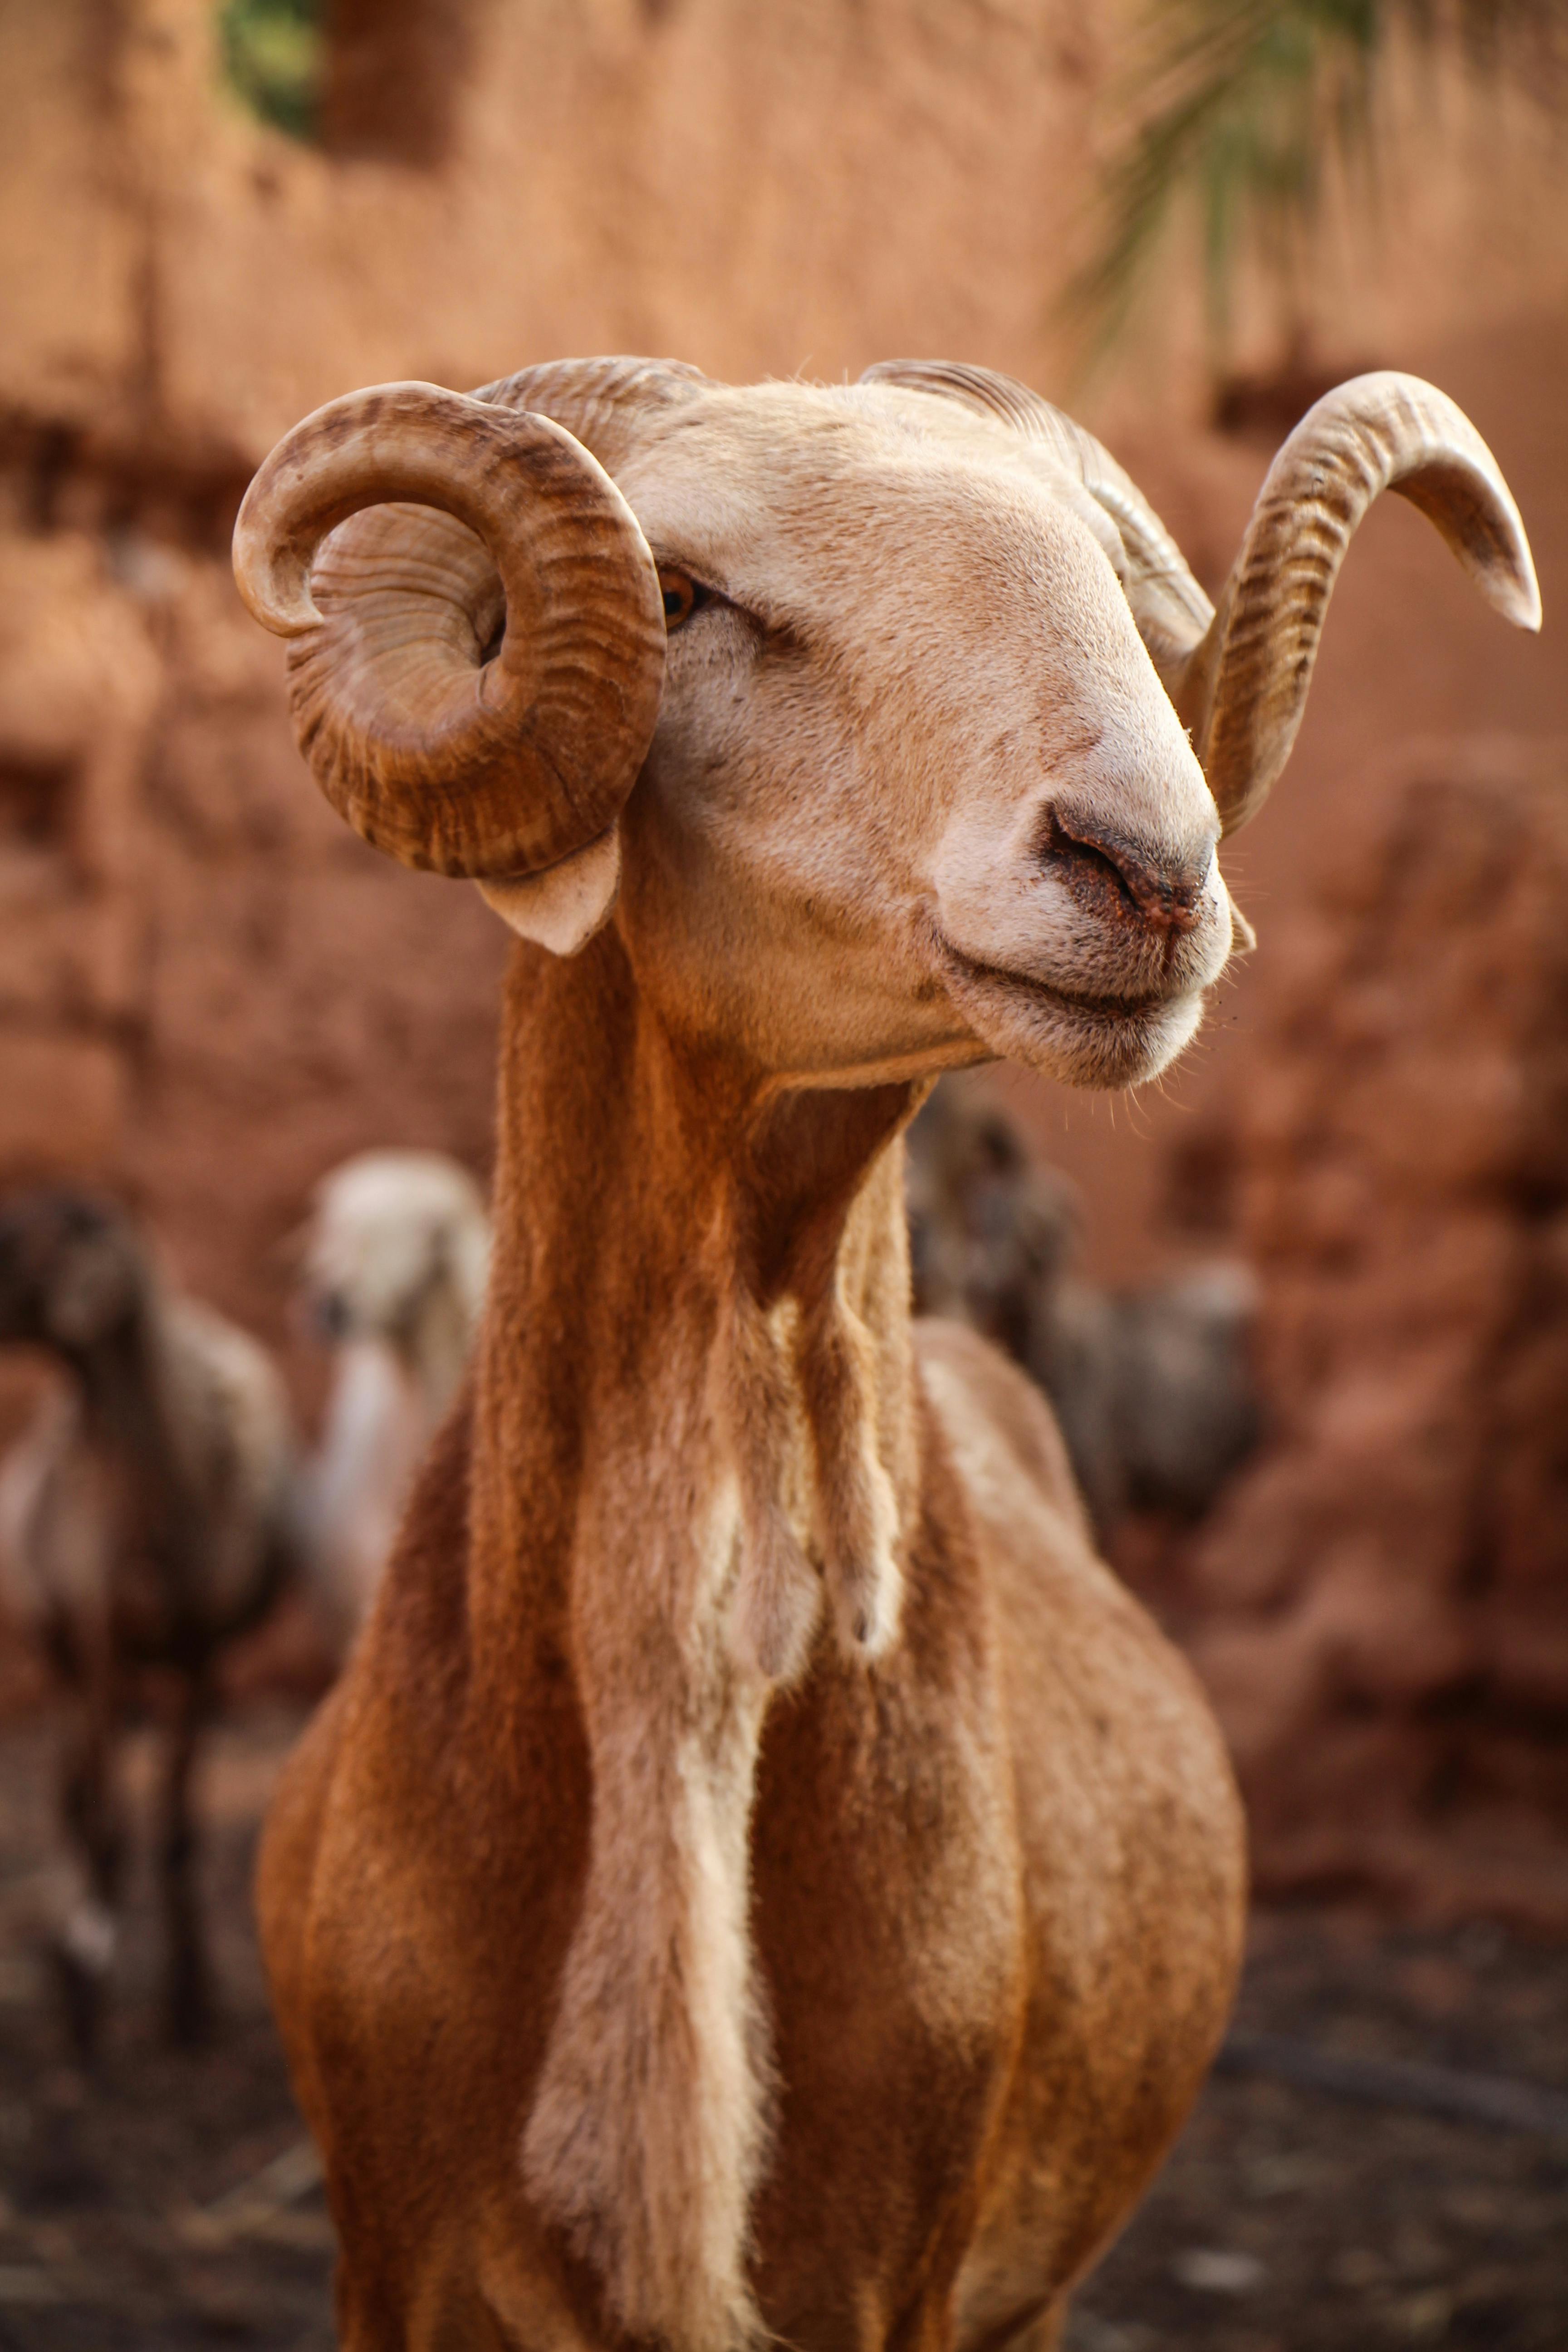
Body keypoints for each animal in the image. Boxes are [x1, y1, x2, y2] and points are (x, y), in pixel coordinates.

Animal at [0, 1190, 301, 2050]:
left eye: (68, 1230)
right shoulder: (103, 1641)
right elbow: (109, 1824)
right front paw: (83, 1994)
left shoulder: (199, 1654)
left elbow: (176, 1828)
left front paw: (190, 1999)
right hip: (61, 1650)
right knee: (72, 1794)